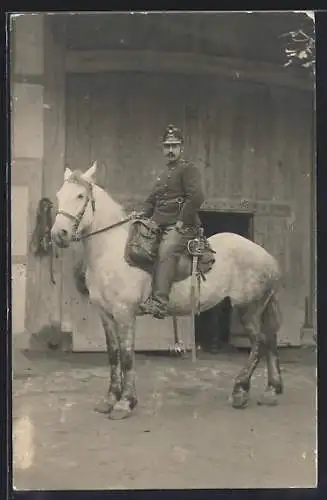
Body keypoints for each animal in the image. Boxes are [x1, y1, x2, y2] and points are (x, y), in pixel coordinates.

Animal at [51, 162, 284, 420]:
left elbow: (127, 355)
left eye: (80, 196)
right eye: (59, 195)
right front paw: (109, 399)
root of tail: (267, 257)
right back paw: (271, 391)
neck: (112, 251)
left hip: (248, 308)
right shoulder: (106, 315)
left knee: (259, 342)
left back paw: (240, 390)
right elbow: (113, 355)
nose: (58, 234)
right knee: (270, 340)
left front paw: (125, 403)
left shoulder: (124, 313)